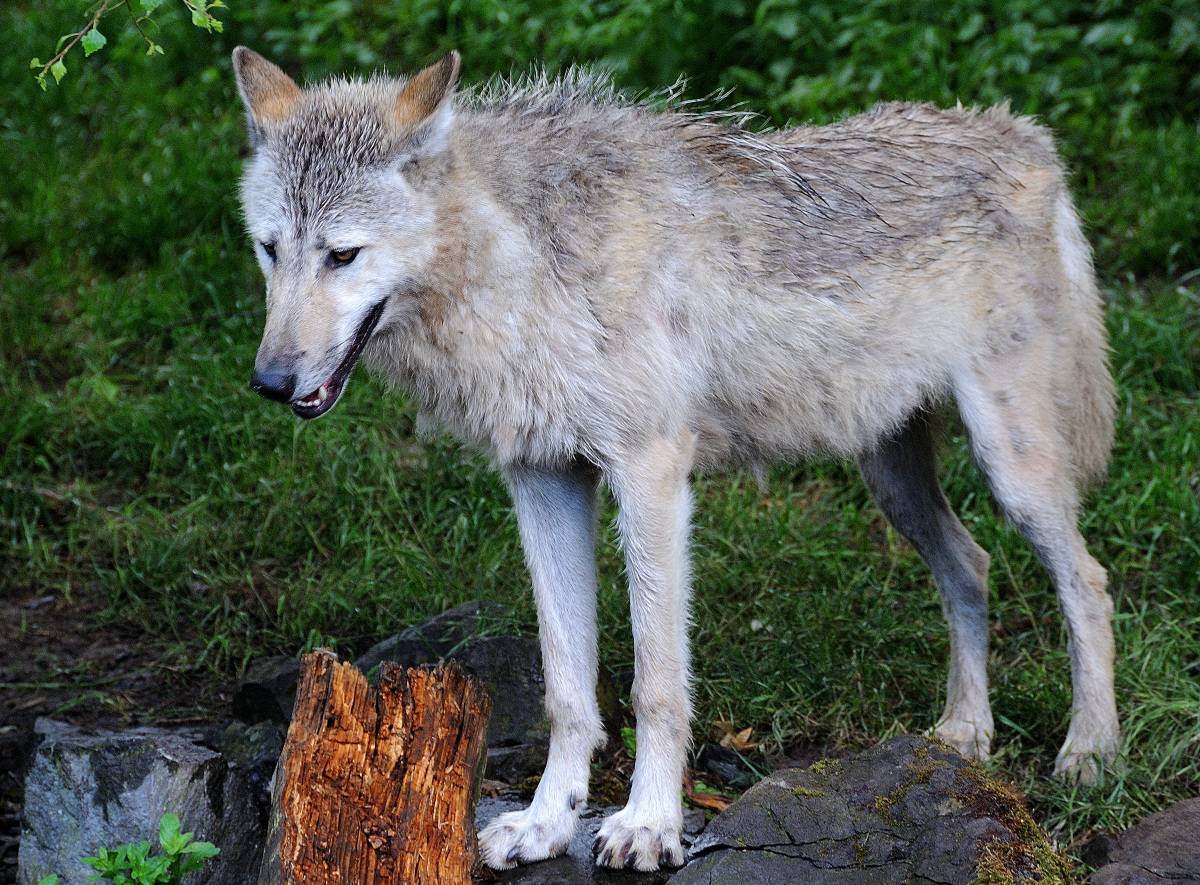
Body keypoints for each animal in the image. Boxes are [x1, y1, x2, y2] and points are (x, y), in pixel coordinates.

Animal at [232, 47, 1119, 872]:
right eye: (270, 249)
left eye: (342, 255)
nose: (269, 382)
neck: (521, 264)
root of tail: (1025, 135)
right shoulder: (542, 479)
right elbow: (566, 686)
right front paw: (547, 824)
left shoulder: (650, 472)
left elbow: (654, 681)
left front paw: (649, 825)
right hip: (893, 480)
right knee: (971, 565)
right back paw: (964, 733)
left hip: (1012, 469)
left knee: (1087, 579)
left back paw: (1090, 750)